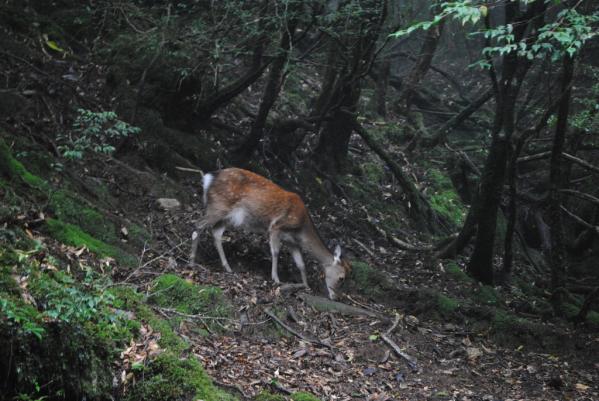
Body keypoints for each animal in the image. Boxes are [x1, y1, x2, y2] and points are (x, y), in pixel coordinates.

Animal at [190, 167, 352, 298]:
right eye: (342, 278)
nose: (336, 297)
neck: (301, 228)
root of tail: (208, 178)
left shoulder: (292, 241)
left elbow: (301, 264)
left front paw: (306, 286)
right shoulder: (276, 227)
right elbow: (275, 252)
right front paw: (276, 278)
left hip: (228, 216)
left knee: (216, 232)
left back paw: (227, 267)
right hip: (218, 206)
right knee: (198, 224)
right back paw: (191, 261)